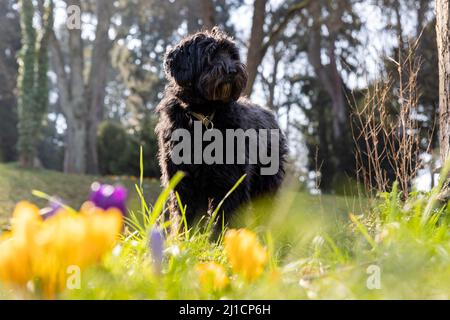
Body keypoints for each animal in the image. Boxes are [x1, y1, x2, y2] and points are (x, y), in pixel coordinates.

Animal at [155, 27, 288, 224]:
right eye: (211, 54)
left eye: (232, 55)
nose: (232, 70)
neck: (204, 114)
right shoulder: (182, 181)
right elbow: (185, 215)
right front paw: (184, 233)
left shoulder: (230, 180)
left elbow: (226, 215)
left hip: (266, 183)